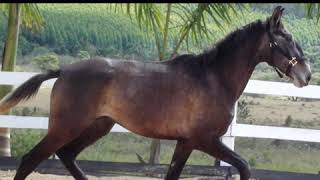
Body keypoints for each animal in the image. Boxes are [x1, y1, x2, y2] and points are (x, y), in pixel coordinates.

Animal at [0, 5, 312, 180]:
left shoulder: (186, 142)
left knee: (66, 156)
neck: (214, 79)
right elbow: (244, 167)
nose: (306, 75)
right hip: (66, 127)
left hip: (98, 126)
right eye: (286, 38)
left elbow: (173, 175)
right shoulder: (205, 139)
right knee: (30, 161)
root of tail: (64, 71)